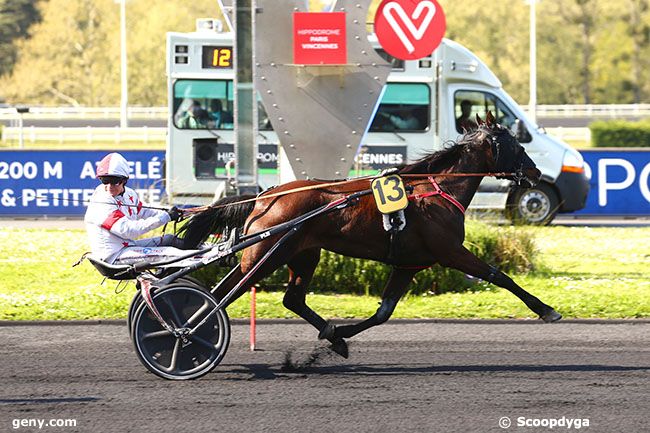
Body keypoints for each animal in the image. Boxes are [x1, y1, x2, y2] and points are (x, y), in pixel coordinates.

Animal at [180, 113, 560, 356]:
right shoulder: (450, 252)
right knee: (224, 293)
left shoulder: (410, 264)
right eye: (515, 145)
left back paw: (332, 335)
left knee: (292, 299)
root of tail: (264, 196)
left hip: (302, 252)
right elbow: (500, 276)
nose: (534, 171)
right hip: (265, 254)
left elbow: (384, 312)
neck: (437, 190)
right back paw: (188, 331)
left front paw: (340, 334)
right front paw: (546, 310)